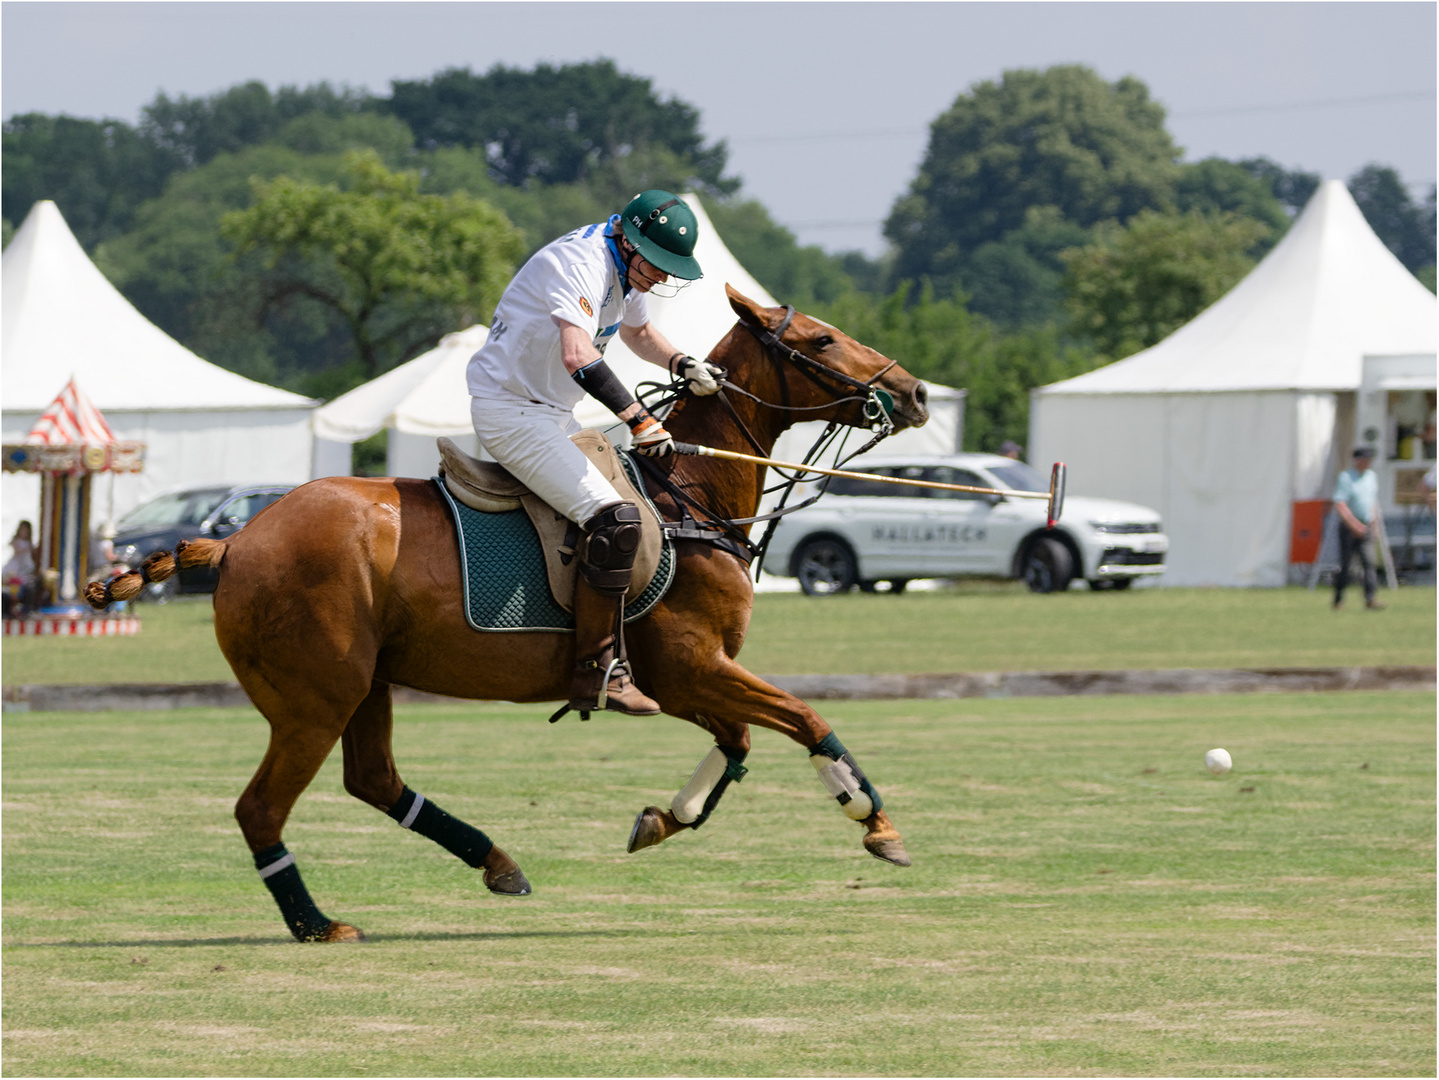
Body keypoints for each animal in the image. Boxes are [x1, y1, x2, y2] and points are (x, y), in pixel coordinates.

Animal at [95, 284, 926, 937]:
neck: (687, 494)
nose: (915, 393)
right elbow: (803, 718)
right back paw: (318, 924)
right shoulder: (687, 667)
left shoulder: (686, 679)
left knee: (374, 780)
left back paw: (497, 863)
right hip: (314, 697)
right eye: (820, 339)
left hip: (364, 683)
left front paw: (661, 820)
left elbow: (740, 740)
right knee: (262, 809)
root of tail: (234, 542)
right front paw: (876, 824)